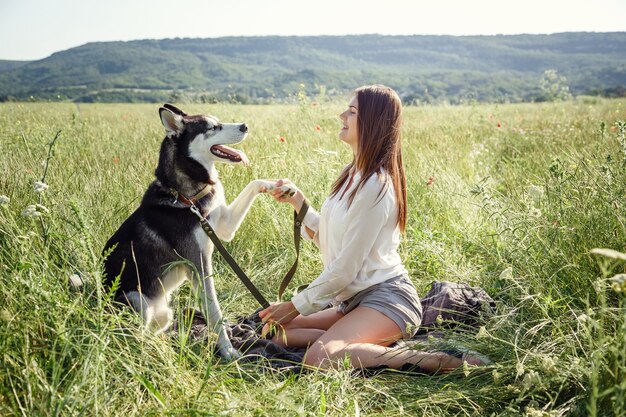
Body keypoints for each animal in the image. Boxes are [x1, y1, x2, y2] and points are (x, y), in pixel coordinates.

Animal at [104, 103, 282, 358]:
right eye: (212, 127)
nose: (245, 126)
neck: (186, 198)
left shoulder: (224, 227)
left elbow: (254, 183)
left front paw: (279, 186)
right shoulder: (198, 263)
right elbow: (214, 311)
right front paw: (228, 351)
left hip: (163, 313)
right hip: (136, 300)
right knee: (133, 340)